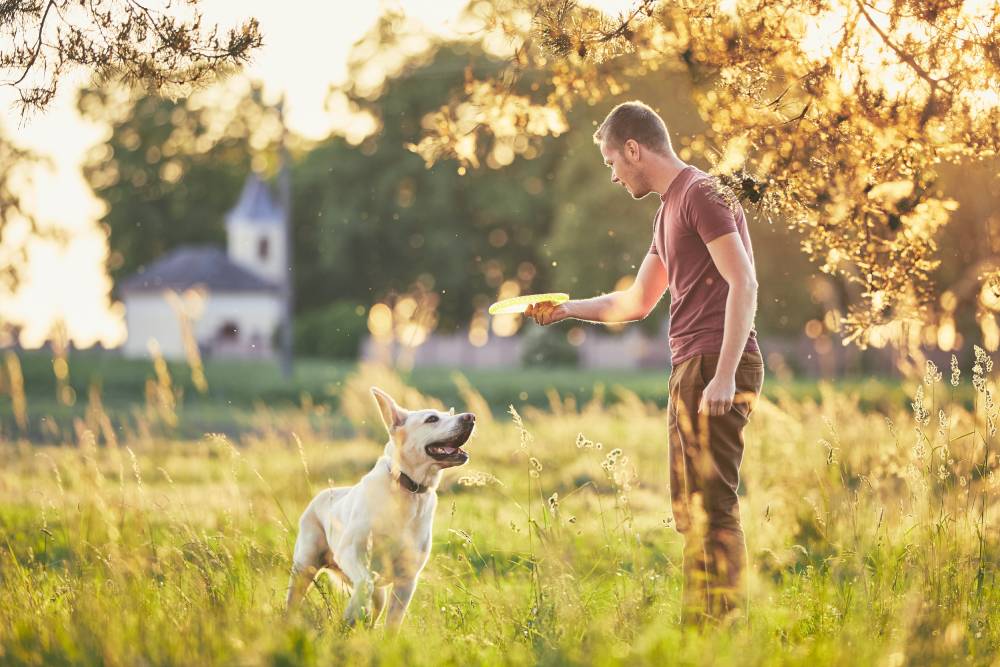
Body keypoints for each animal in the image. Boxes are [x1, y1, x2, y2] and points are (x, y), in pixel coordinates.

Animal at [286, 386, 476, 628]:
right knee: (294, 600)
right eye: (432, 419)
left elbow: (392, 625)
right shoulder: (351, 552)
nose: (470, 417)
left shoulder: (407, 580)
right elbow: (365, 582)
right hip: (304, 567)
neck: (407, 490)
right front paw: (353, 611)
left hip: (380, 595)